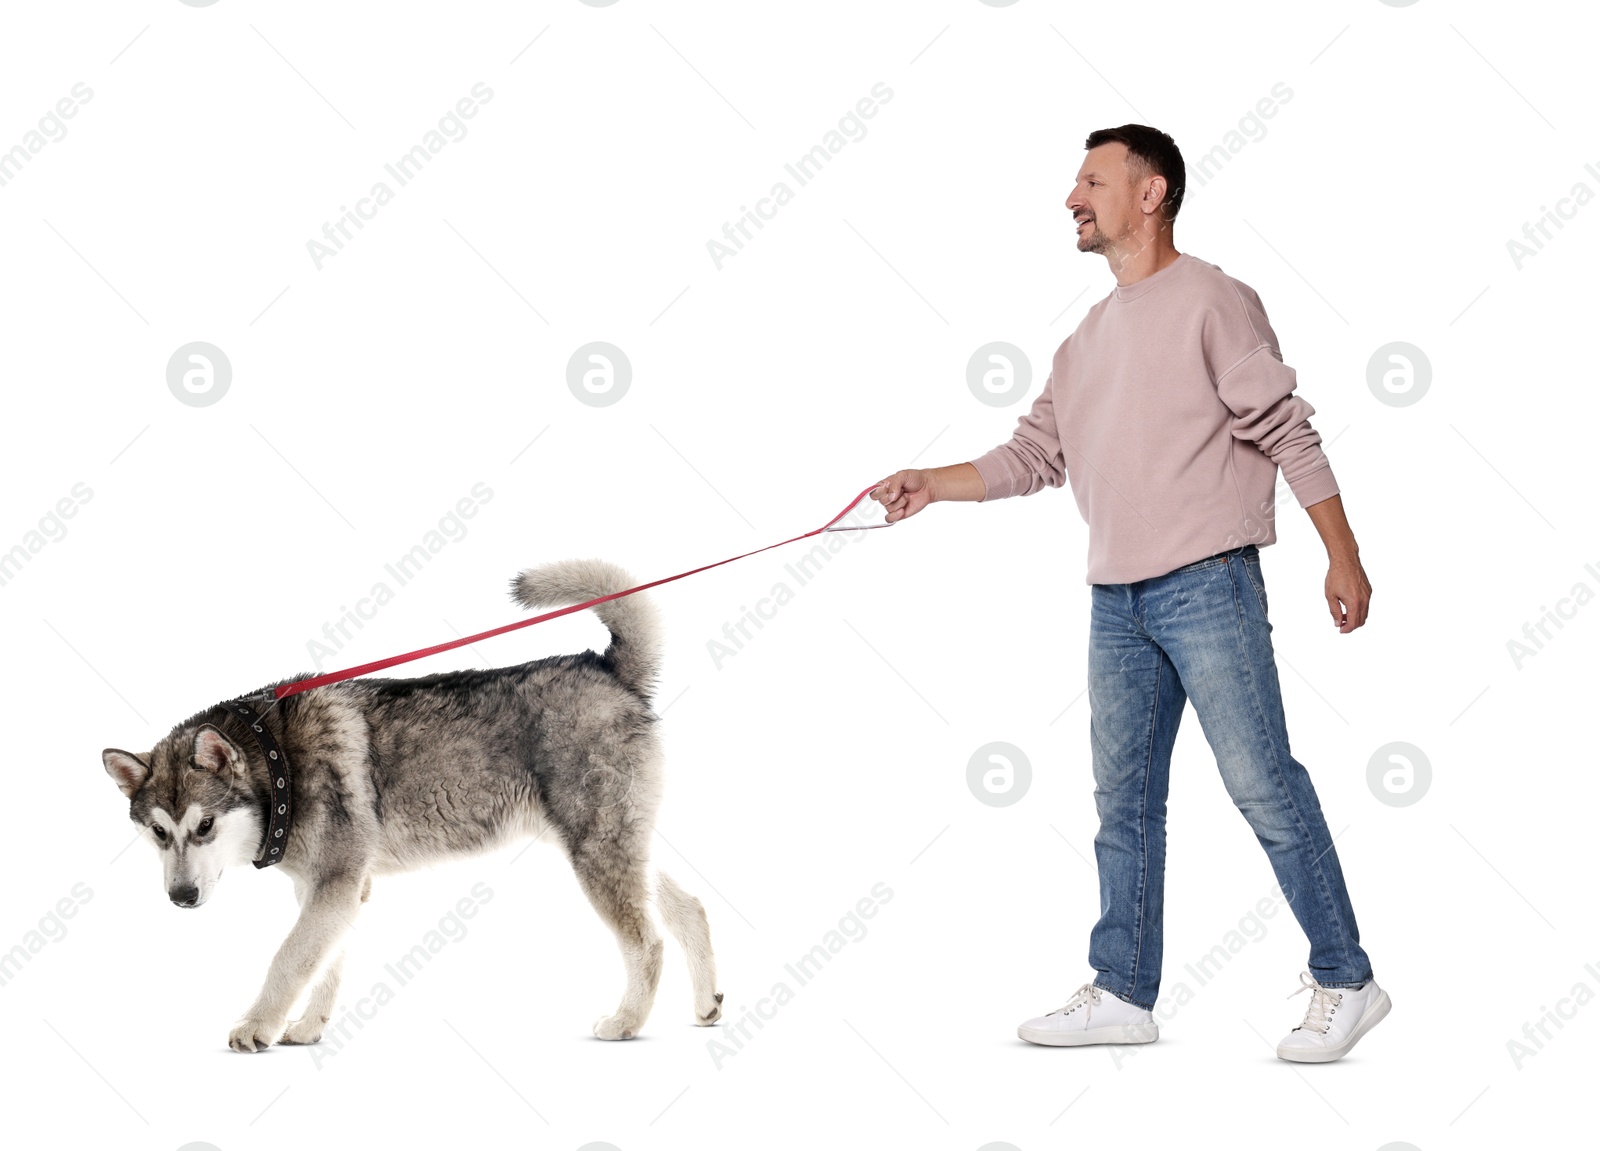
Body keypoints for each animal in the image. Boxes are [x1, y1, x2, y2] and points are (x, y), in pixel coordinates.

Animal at [101, 557, 726, 1056]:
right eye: (159, 833)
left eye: (204, 825)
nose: (181, 897)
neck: (280, 764)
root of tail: (607, 669)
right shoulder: (333, 892)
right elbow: (323, 965)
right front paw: (307, 1027)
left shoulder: (333, 885)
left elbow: (288, 960)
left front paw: (257, 1025)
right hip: (614, 844)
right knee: (690, 908)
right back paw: (704, 1005)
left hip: (596, 851)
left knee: (648, 942)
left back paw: (626, 1022)